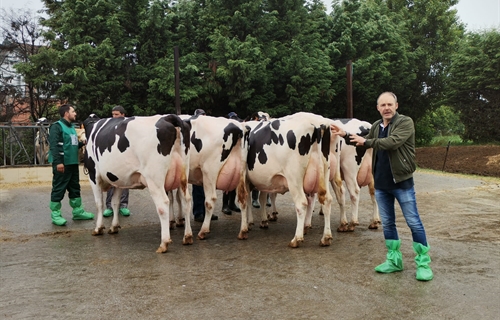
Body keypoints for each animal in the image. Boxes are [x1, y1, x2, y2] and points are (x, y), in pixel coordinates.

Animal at [83, 114, 192, 252]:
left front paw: (98, 228)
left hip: (154, 178)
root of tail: (168, 117)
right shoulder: (119, 179)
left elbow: (99, 204)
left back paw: (164, 243)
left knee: (163, 204)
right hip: (184, 175)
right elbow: (115, 203)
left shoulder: (93, 175)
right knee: (186, 200)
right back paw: (187, 236)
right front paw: (114, 227)